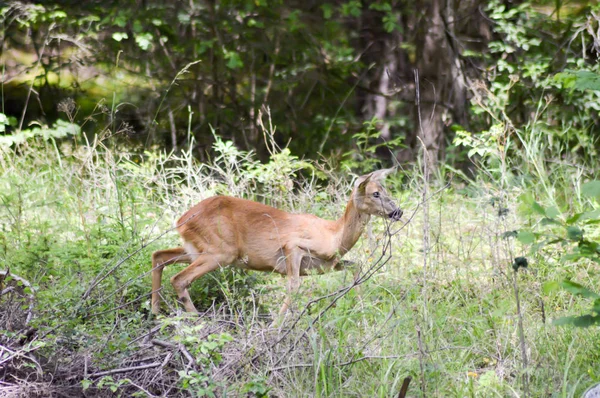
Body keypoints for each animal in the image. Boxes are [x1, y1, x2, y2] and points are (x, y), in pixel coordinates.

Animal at [151, 168, 404, 318]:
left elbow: (357, 266)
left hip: (197, 249)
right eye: (375, 193)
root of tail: (181, 221)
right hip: (220, 251)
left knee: (159, 256)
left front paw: (362, 309)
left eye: (385, 189)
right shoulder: (293, 247)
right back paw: (195, 319)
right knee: (179, 278)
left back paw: (155, 311)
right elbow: (293, 286)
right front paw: (275, 326)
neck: (335, 234)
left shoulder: (326, 264)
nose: (398, 211)